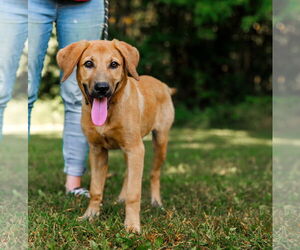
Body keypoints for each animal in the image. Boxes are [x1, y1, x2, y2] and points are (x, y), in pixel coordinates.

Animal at [56, 39, 176, 232]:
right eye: (88, 64)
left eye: (114, 64)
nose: (102, 88)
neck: (110, 111)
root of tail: (163, 85)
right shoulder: (98, 151)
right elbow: (96, 189)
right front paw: (90, 216)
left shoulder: (136, 149)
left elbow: (135, 193)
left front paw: (132, 225)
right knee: (128, 173)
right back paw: (121, 197)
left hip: (160, 141)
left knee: (154, 173)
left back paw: (156, 202)